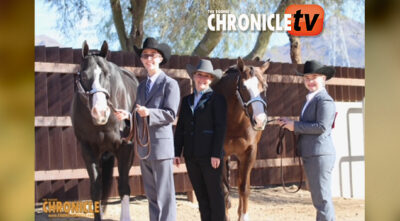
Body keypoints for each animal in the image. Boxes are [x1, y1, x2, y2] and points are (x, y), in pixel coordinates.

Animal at [72, 40, 139, 220]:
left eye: (107, 75)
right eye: (83, 75)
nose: (100, 112)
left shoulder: (125, 148)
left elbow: (123, 187)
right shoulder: (87, 149)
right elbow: (96, 189)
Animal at [212, 57, 268, 221]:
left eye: (265, 87)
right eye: (243, 87)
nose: (260, 121)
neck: (234, 122)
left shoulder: (249, 153)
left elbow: (244, 189)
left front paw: (243, 217)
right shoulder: (220, 156)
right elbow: (224, 190)